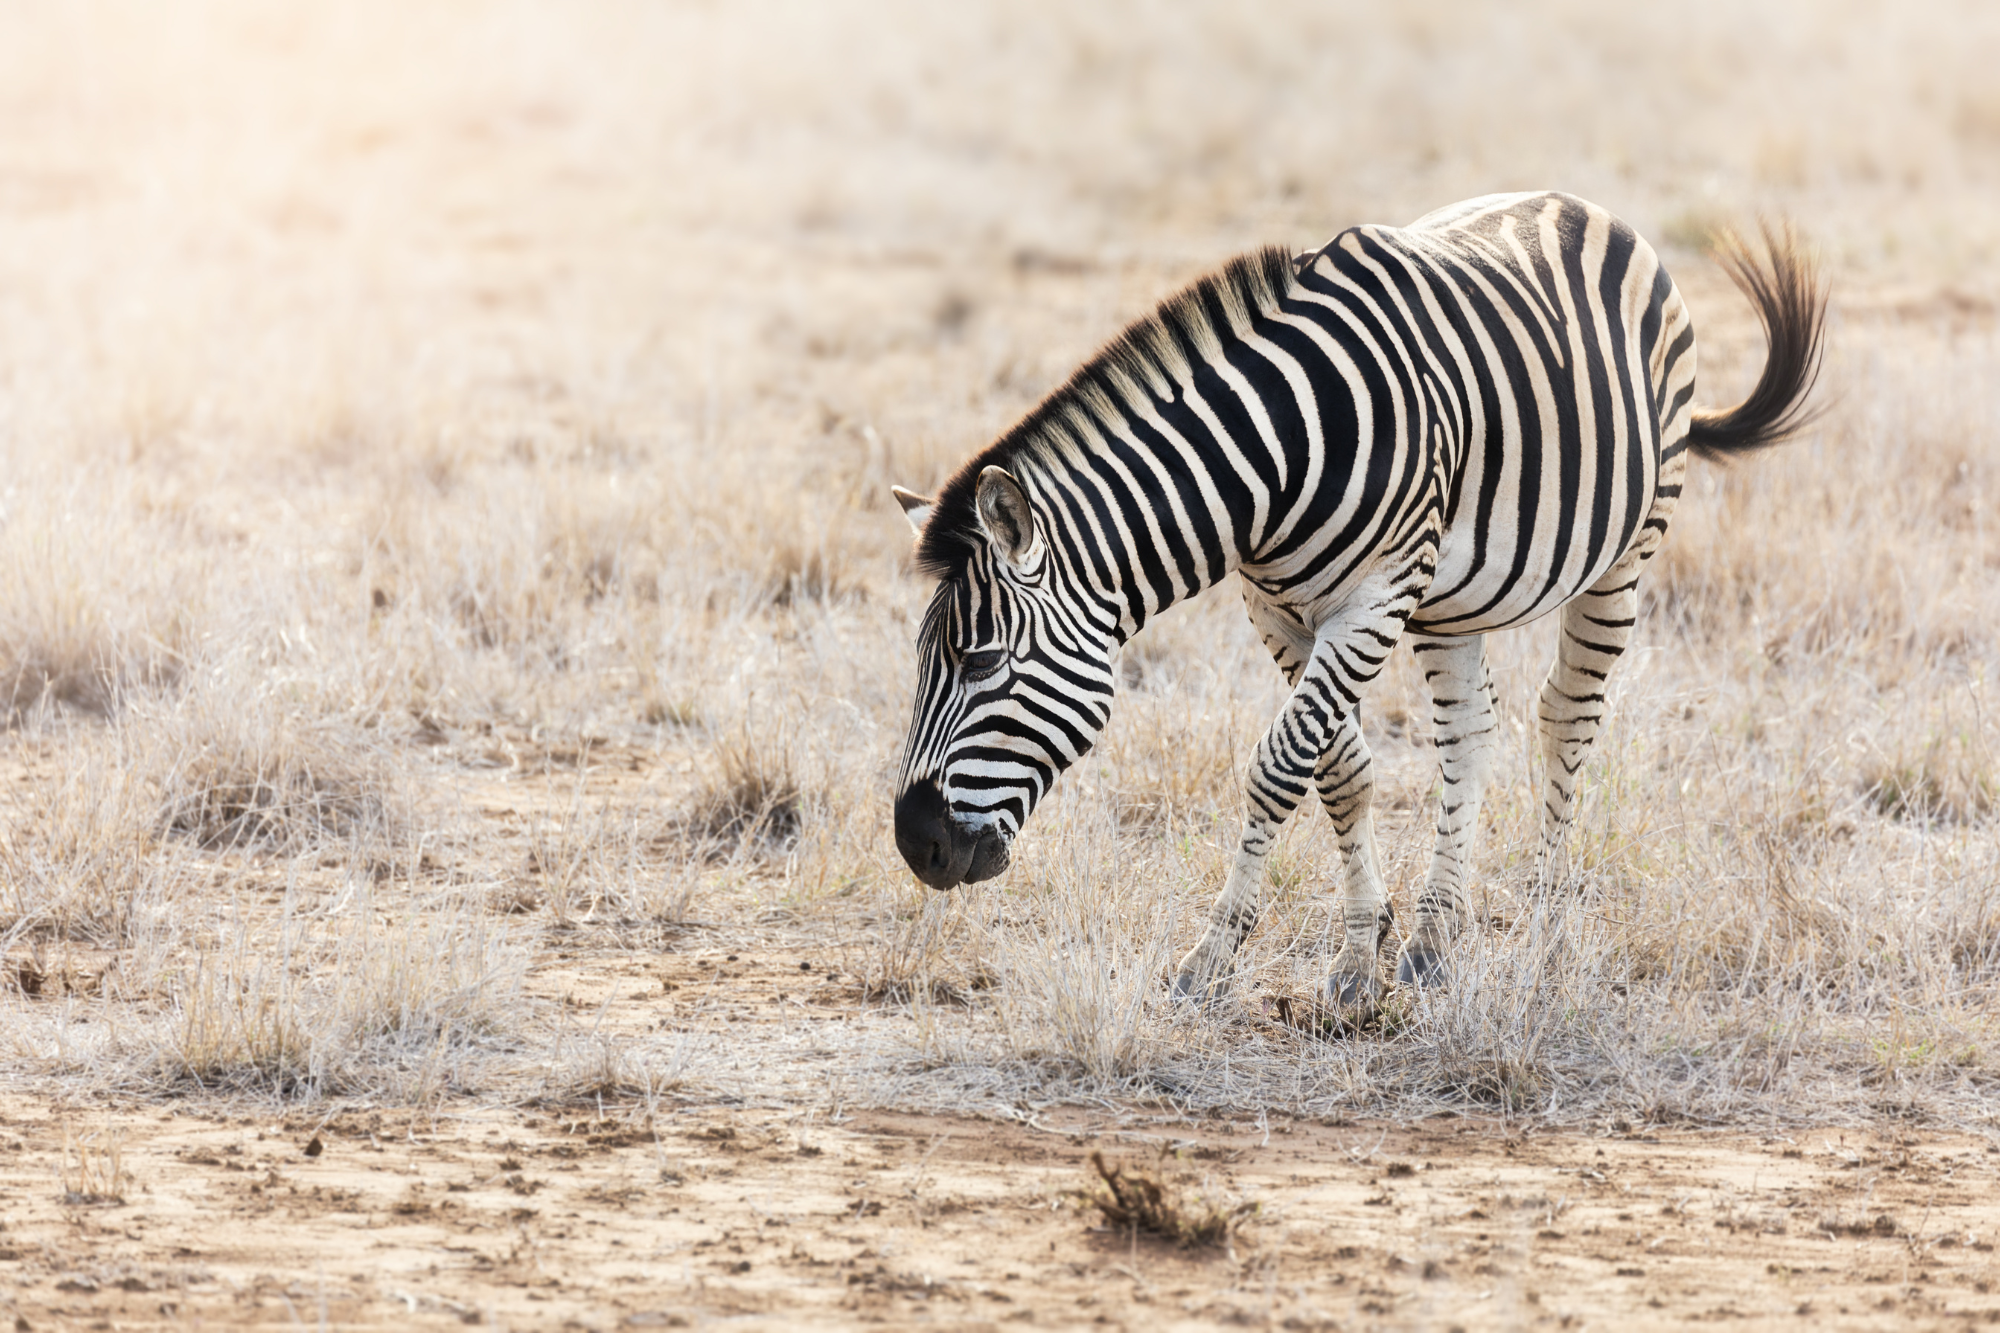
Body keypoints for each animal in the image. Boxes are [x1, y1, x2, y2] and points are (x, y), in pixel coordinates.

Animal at [884, 189, 1824, 1008]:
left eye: (981, 661)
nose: (915, 845)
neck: (1271, 460)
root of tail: (1584, 205)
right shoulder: (1276, 607)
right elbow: (1339, 769)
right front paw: (1360, 952)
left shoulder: (1373, 597)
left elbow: (1277, 765)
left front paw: (1210, 957)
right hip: (1452, 598)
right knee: (1470, 726)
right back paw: (1437, 939)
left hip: (1624, 551)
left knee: (1567, 718)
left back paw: (1551, 942)